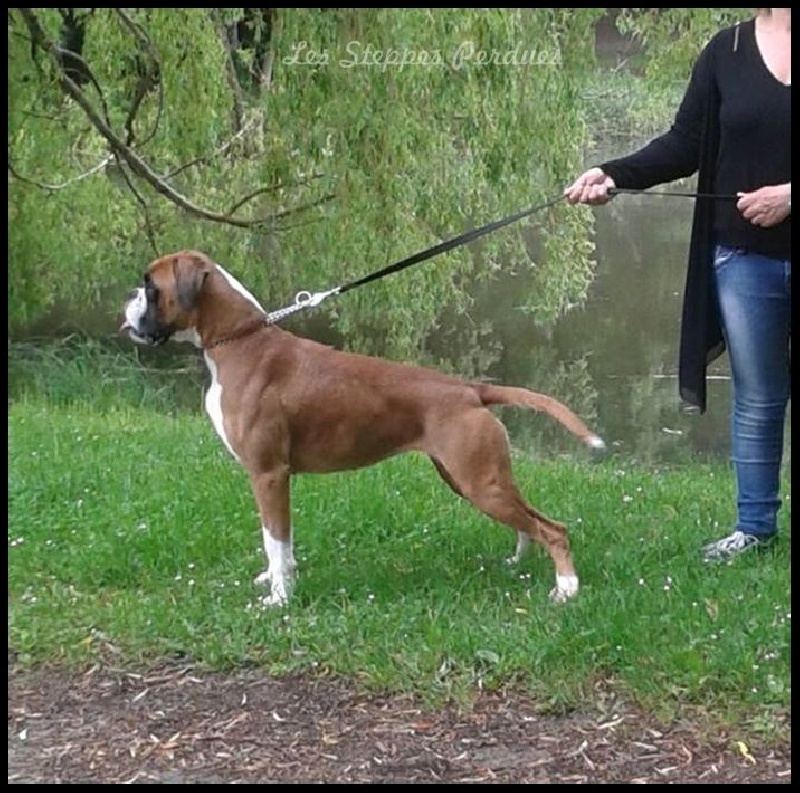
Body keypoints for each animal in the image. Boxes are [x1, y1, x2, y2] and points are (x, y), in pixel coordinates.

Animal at [120, 250, 606, 606]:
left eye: (151, 286)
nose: (129, 297)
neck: (241, 340)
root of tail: (471, 389)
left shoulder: (268, 474)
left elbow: (275, 538)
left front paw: (279, 600)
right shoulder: (270, 479)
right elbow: (278, 542)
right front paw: (278, 579)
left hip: (480, 482)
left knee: (554, 529)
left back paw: (566, 589)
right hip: (472, 478)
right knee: (531, 520)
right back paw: (521, 562)